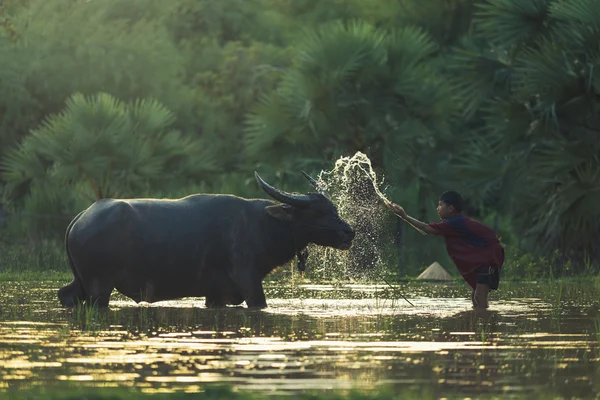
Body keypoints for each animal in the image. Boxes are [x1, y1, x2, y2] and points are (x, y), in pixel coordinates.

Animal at [58, 170, 354, 308]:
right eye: (318, 212)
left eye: (334, 208)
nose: (348, 232)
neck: (260, 226)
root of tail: (80, 218)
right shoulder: (249, 282)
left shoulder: (215, 294)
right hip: (99, 287)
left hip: (81, 283)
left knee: (65, 295)